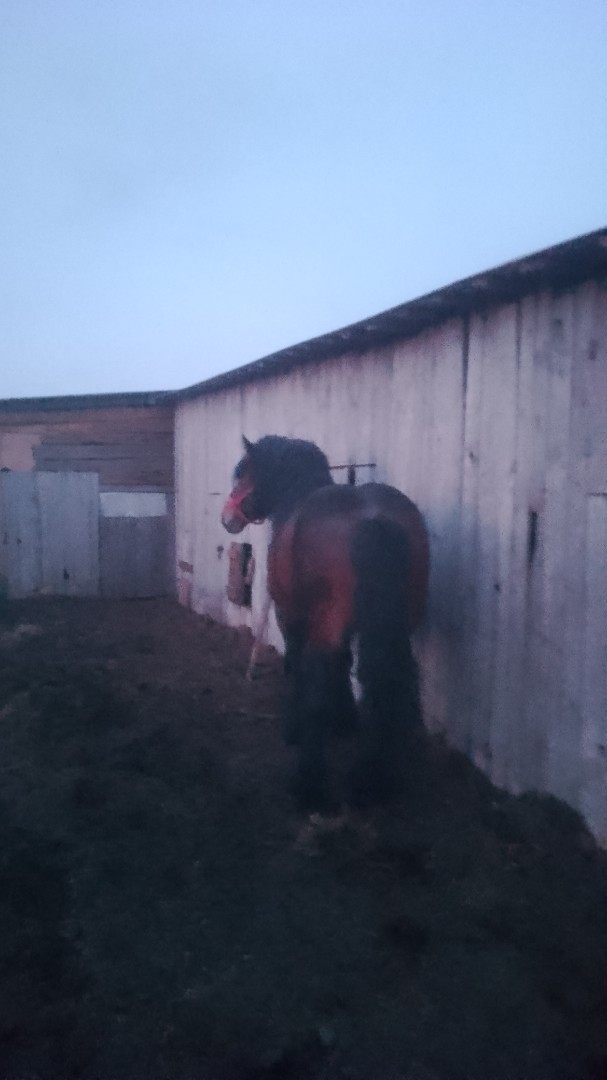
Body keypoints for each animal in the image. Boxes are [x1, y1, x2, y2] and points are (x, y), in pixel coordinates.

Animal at [221, 435, 430, 813]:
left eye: (243, 473)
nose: (227, 517)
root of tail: (373, 519)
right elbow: (343, 663)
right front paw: (345, 721)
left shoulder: (292, 617)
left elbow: (298, 666)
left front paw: (294, 727)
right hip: (398, 627)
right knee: (391, 685)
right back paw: (376, 778)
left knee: (318, 682)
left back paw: (309, 786)